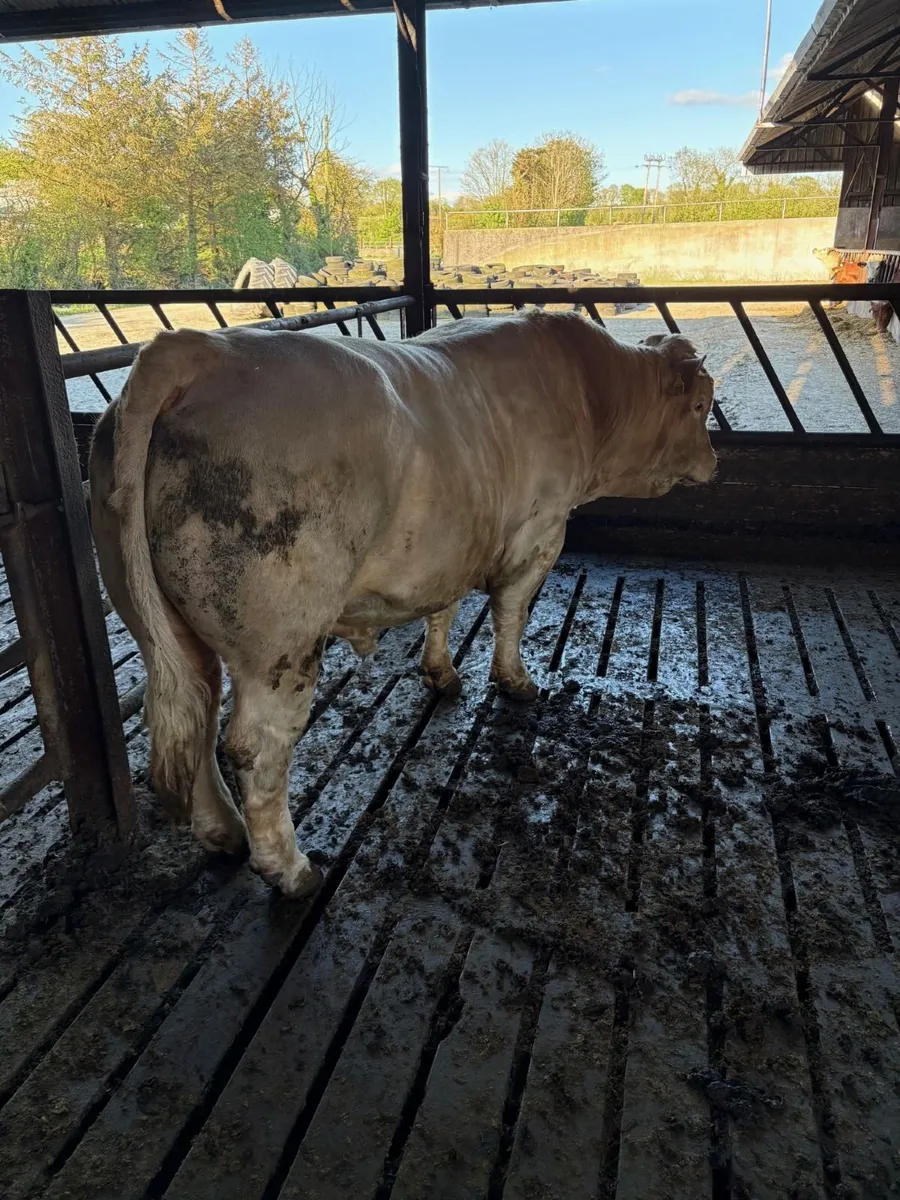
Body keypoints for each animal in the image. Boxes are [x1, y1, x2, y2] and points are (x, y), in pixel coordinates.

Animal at [90, 310, 717, 898]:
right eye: (701, 405)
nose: (713, 460)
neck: (592, 394)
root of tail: (194, 349)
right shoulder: (539, 533)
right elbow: (511, 613)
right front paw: (515, 680)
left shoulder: (452, 545)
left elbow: (445, 607)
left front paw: (441, 672)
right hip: (281, 639)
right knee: (255, 745)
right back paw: (290, 870)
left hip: (165, 623)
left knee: (193, 706)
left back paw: (223, 832)